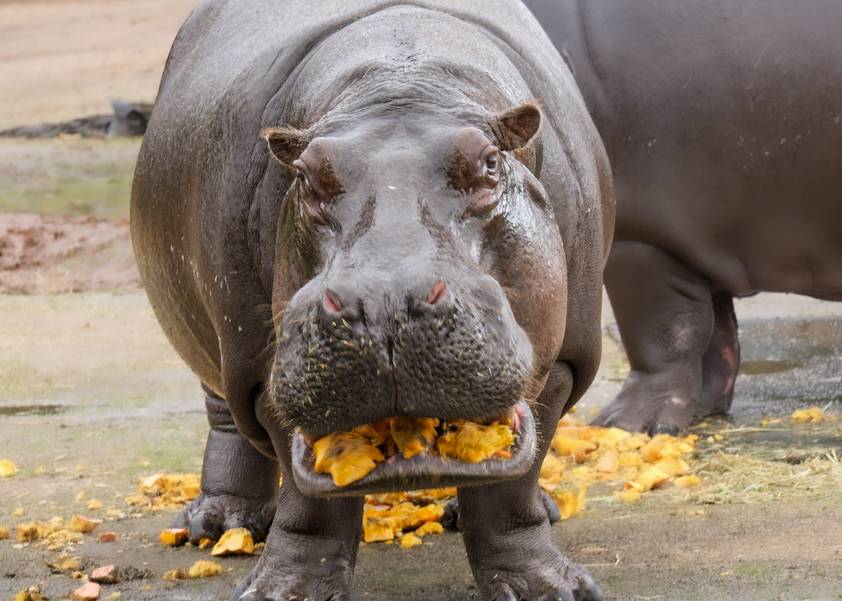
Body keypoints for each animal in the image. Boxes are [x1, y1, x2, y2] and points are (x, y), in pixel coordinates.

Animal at [131, 1, 613, 600]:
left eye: (490, 164)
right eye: (306, 176)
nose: (386, 300)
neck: (403, 83)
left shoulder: (562, 360)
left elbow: (509, 495)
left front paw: (547, 589)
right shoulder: (263, 377)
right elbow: (310, 506)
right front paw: (287, 592)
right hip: (219, 347)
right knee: (224, 417)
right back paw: (220, 526)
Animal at [524, 0, 842, 433]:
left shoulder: (640, 241)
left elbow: (662, 332)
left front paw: (624, 424)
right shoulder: (697, 244)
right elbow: (715, 336)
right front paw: (697, 413)